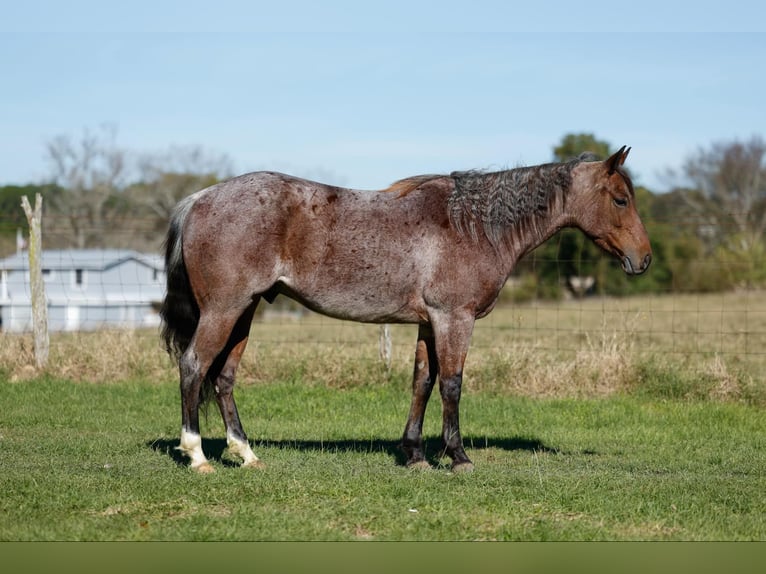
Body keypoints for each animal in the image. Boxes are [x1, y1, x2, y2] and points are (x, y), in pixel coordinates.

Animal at [160, 146, 651, 473]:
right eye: (620, 199)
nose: (643, 259)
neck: (472, 226)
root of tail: (198, 200)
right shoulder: (454, 319)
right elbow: (451, 385)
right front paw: (457, 457)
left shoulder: (428, 323)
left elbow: (422, 382)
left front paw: (414, 454)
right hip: (224, 311)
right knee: (194, 365)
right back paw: (197, 455)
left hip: (244, 313)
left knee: (223, 377)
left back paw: (245, 453)